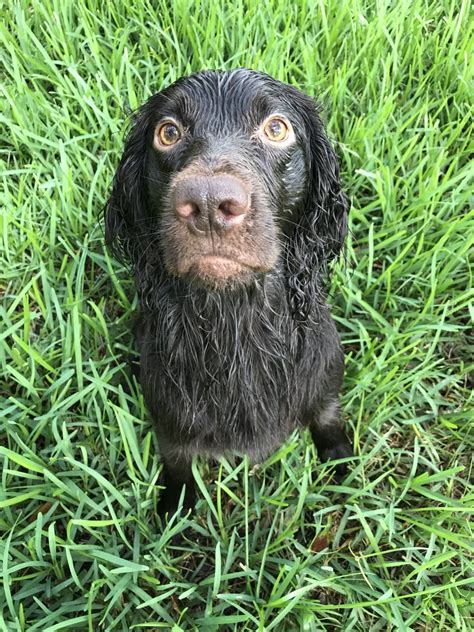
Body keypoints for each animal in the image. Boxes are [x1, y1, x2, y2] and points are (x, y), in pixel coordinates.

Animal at [105, 68, 354, 512]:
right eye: (168, 132)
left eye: (276, 128)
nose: (207, 204)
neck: (235, 319)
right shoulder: (169, 419)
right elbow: (177, 459)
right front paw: (175, 509)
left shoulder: (325, 380)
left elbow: (327, 416)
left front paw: (340, 462)